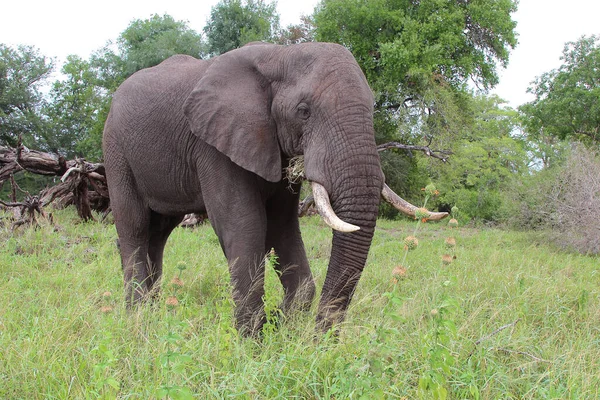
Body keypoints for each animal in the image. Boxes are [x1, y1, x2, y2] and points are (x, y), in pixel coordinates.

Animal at [102, 41, 446, 334]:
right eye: (304, 111)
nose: (318, 342)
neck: (280, 55)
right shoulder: (212, 146)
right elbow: (245, 224)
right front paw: (254, 345)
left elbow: (281, 225)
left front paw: (280, 327)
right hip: (116, 149)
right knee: (134, 226)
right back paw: (137, 320)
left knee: (159, 232)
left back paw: (153, 314)